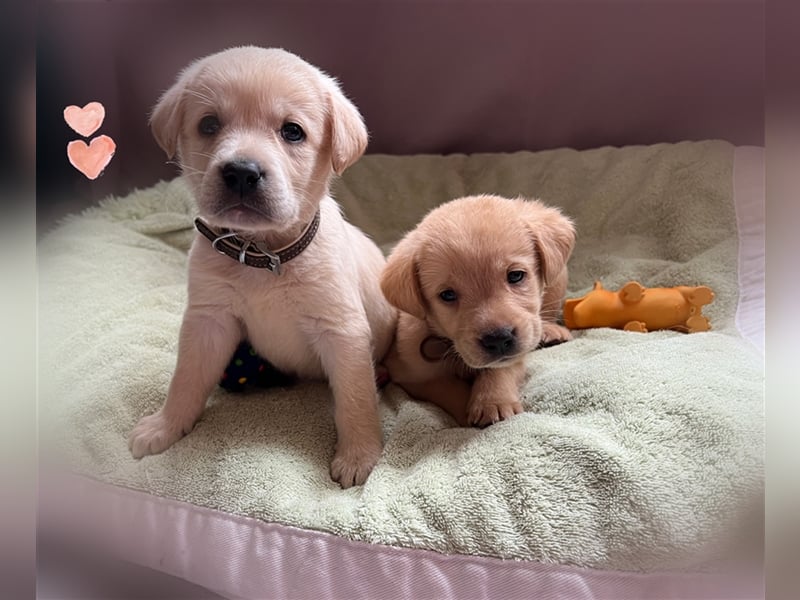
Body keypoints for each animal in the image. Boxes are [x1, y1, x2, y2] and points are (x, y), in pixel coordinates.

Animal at [129, 45, 400, 488]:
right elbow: (185, 379)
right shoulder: (208, 320)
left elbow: (355, 399)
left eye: (292, 131)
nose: (242, 172)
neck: (262, 255)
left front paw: (359, 454)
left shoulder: (342, 330)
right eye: (209, 124)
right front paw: (165, 426)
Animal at [382, 196, 576, 426]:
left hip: (558, 277)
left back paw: (551, 330)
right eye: (447, 295)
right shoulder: (411, 373)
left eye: (516, 275)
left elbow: (502, 368)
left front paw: (492, 401)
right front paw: (468, 412)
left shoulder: (518, 350)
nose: (499, 339)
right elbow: (447, 387)